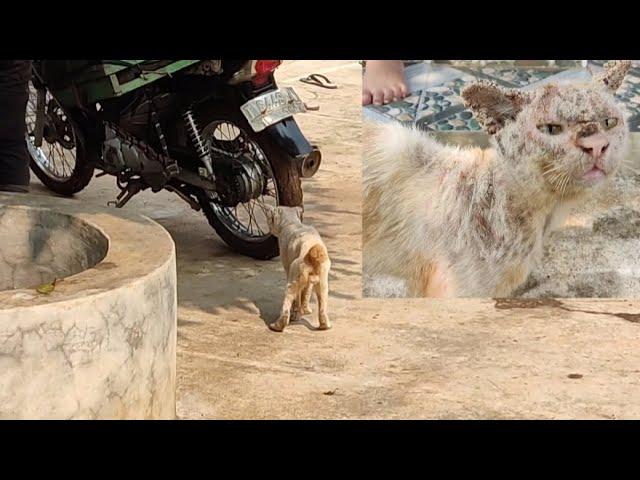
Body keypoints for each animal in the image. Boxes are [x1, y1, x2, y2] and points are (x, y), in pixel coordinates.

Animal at [262, 204, 330, 332]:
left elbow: (298, 298)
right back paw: (325, 325)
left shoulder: (288, 269)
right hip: (323, 281)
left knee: (288, 301)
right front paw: (306, 310)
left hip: (294, 277)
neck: (292, 222)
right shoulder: (310, 282)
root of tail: (312, 252)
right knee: (322, 302)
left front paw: (297, 313)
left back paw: (278, 325)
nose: (267, 210)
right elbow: (306, 293)